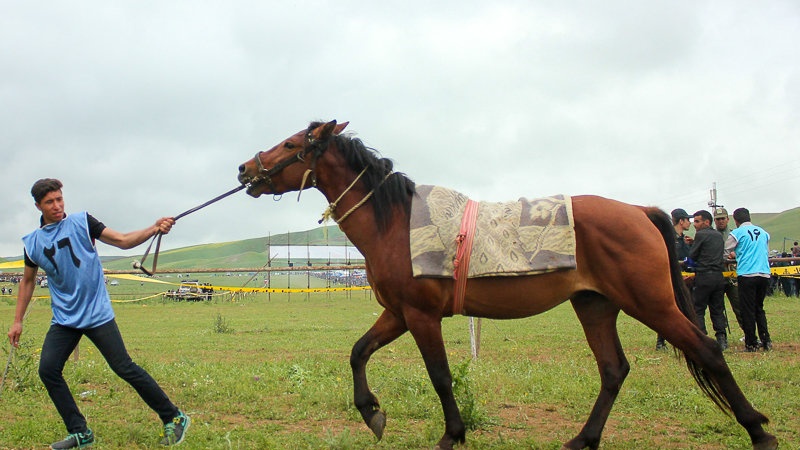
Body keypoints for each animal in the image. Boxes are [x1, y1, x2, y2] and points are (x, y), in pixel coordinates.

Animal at [236, 120, 776, 450]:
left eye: (292, 144)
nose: (245, 168)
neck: (398, 225)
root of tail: (638, 211)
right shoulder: (397, 313)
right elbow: (358, 352)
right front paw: (372, 413)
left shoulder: (421, 316)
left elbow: (440, 376)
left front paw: (452, 434)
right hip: (595, 305)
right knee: (613, 370)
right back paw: (583, 437)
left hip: (652, 304)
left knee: (708, 350)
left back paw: (758, 430)